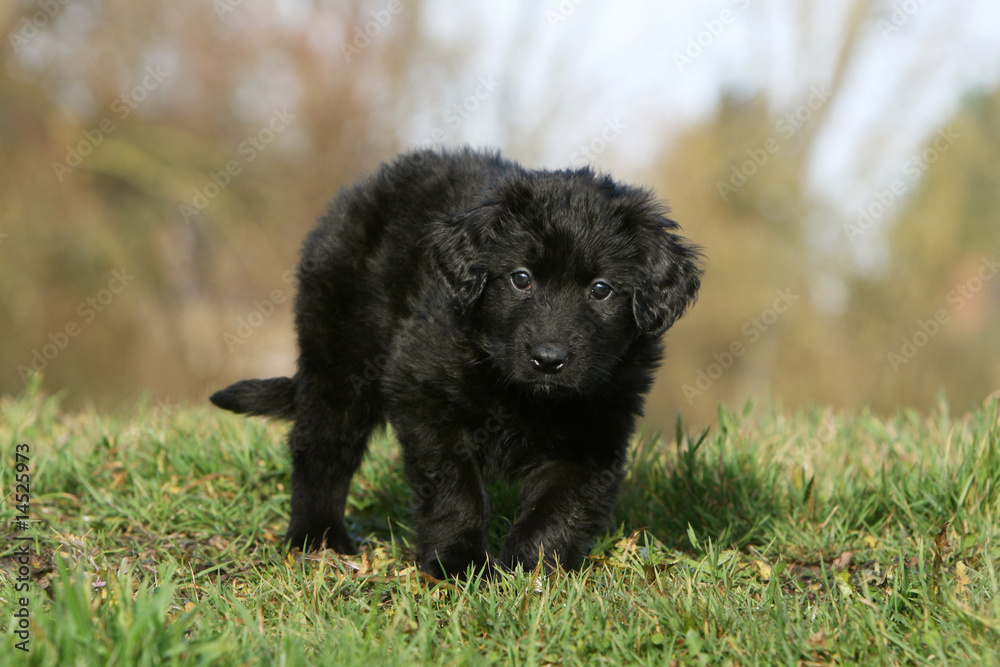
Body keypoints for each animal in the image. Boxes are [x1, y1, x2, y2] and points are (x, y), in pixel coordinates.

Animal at [211, 147, 700, 580]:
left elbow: (558, 509)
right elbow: (456, 494)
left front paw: (530, 573)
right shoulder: (426, 399)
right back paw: (319, 539)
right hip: (339, 357)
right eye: (521, 279)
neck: (522, 394)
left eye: (601, 290)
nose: (548, 359)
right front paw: (459, 564)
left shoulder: (595, 433)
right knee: (322, 449)